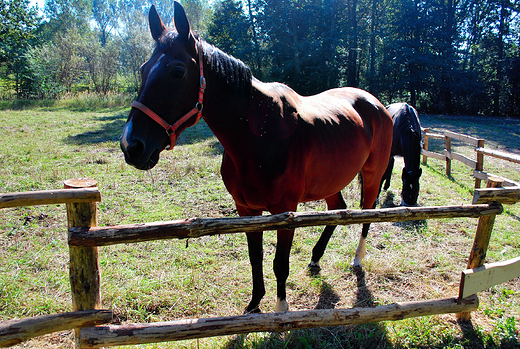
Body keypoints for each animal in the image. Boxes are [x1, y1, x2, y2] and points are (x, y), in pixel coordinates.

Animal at [120, 2, 392, 312]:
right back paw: (315, 258)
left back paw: (357, 260)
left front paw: (281, 310)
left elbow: (280, 264)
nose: (131, 145)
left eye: (177, 71)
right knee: (338, 209)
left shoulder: (285, 212)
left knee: (367, 214)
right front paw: (254, 304)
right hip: (330, 182)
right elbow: (255, 257)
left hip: (372, 176)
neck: (260, 136)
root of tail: (376, 104)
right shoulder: (246, 210)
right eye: (143, 69)